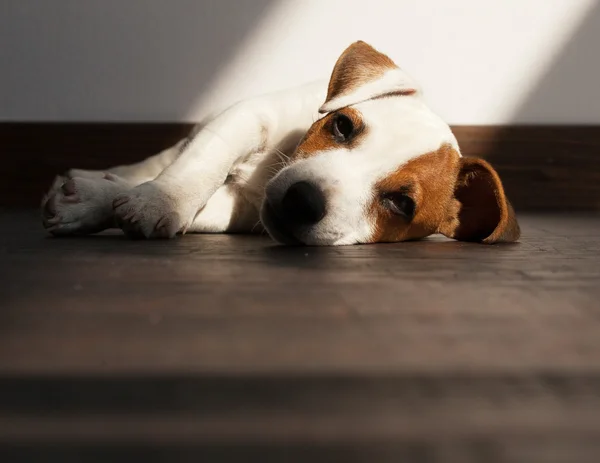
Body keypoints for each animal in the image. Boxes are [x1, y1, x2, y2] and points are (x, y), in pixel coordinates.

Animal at [42, 40, 520, 246]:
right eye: (342, 127)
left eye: (402, 204)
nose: (303, 200)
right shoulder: (246, 117)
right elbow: (199, 164)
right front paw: (157, 200)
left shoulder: (241, 210)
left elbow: (206, 207)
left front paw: (105, 204)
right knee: (154, 163)